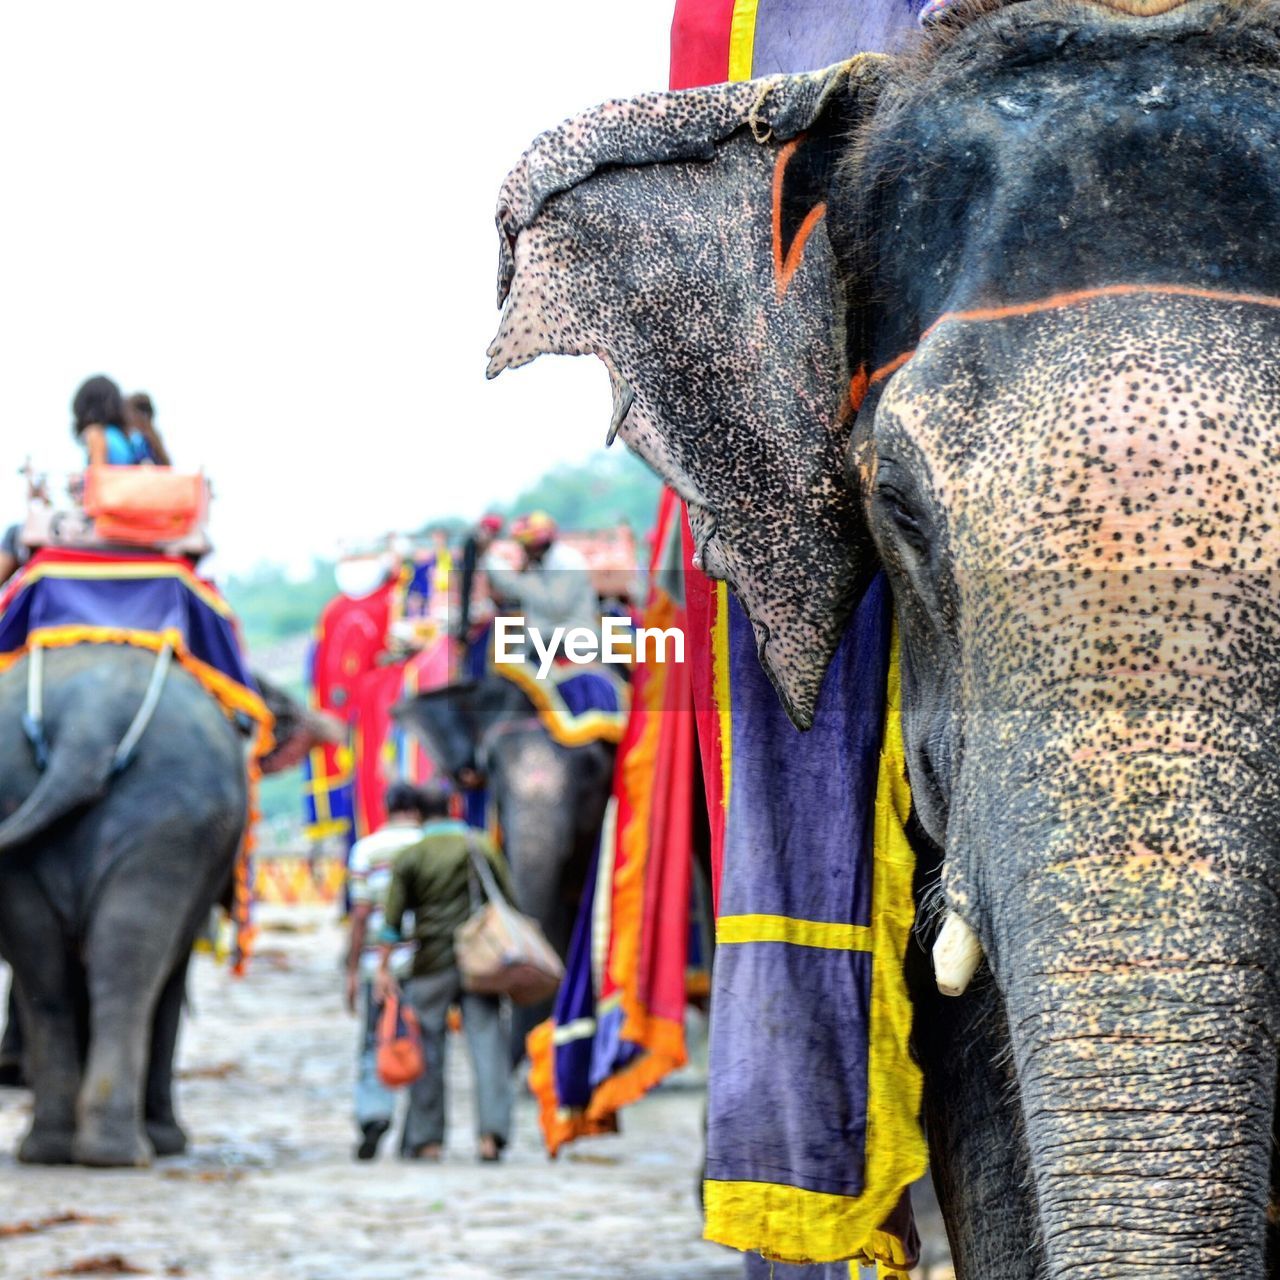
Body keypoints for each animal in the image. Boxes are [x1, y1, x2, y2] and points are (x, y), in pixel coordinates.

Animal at [1, 645, 330, 1167]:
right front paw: (168, 1139)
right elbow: (173, 975)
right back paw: (124, 1151)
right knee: (131, 968)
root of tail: (86, 724)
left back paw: (52, 1149)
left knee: (48, 974)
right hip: (173, 821)